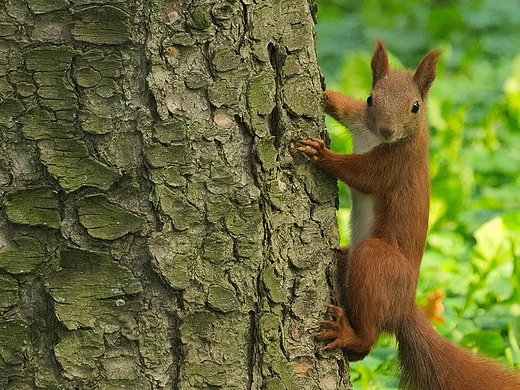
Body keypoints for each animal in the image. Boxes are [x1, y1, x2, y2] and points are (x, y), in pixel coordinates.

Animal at [296, 40, 520, 390]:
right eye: (371, 98)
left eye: (416, 106)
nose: (387, 130)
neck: (377, 137)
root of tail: (405, 308)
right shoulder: (358, 118)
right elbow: (344, 105)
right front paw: (325, 93)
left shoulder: (396, 163)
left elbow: (362, 175)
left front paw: (322, 154)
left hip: (377, 263)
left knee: (371, 335)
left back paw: (348, 334)